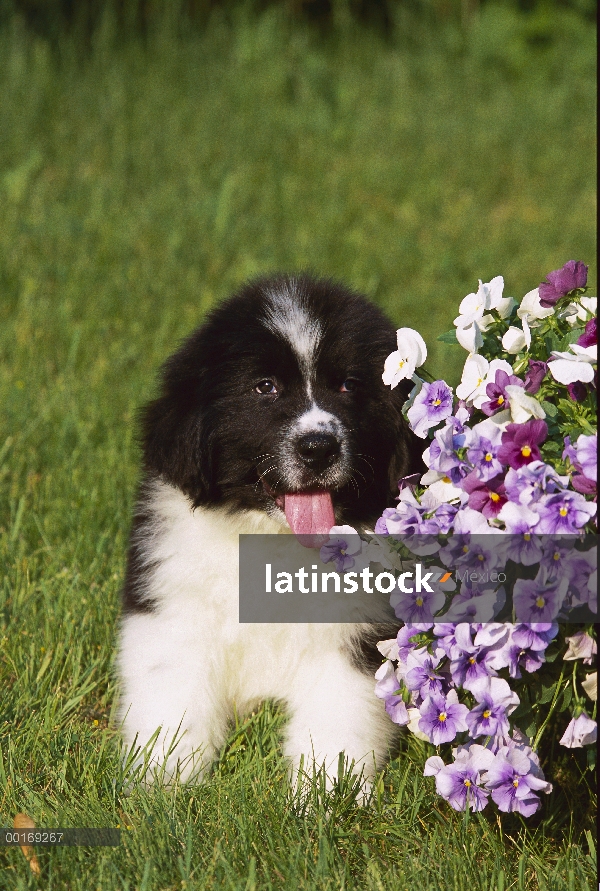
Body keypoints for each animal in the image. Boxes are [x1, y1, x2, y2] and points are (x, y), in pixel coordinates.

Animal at [116, 276, 418, 792]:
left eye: (349, 385)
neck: (274, 537)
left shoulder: (355, 631)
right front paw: (163, 783)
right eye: (265, 387)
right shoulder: (174, 604)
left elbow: (338, 715)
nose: (318, 448)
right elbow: (172, 695)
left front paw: (325, 793)